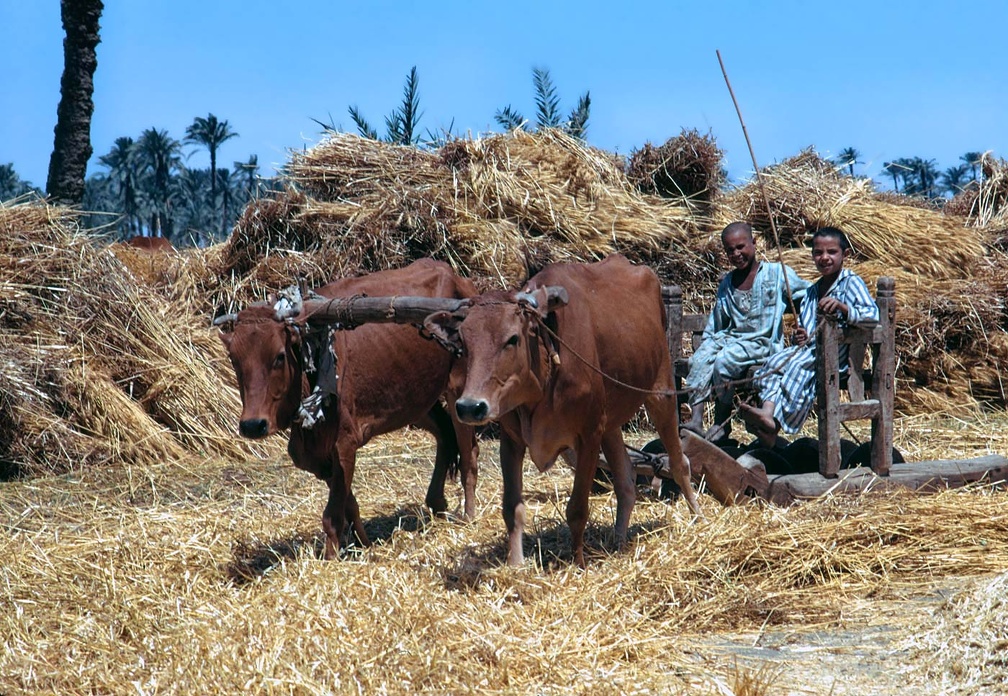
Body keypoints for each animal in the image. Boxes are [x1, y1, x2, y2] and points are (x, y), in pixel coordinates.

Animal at [218, 257, 477, 556]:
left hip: (459, 390)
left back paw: (469, 515)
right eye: (234, 359)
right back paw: (437, 504)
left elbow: (332, 516)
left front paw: (331, 557)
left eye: (279, 356)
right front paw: (364, 544)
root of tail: (454, 275)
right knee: (445, 435)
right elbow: (348, 506)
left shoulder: (344, 444)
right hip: (417, 398)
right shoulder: (315, 456)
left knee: (469, 454)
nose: (252, 425)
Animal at [425, 252, 701, 564]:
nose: (471, 407)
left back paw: (698, 517)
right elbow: (512, 508)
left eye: (512, 339)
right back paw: (619, 541)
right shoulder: (512, 440)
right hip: (610, 421)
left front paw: (578, 563)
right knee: (626, 482)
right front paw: (515, 563)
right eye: (463, 340)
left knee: (679, 464)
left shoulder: (588, 435)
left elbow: (577, 509)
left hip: (661, 391)